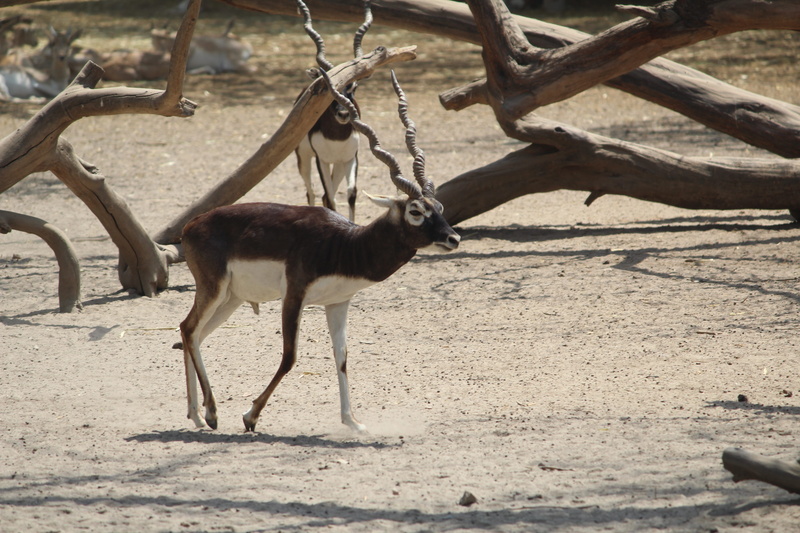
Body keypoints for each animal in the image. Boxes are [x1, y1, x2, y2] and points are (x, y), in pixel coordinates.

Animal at [179, 60, 460, 432]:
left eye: (439, 206)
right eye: (416, 211)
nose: (453, 238)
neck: (344, 245)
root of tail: (191, 226)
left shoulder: (338, 303)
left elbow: (342, 358)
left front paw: (353, 422)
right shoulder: (294, 295)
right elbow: (289, 357)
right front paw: (250, 415)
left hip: (231, 298)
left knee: (193, 334)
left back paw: (197, 414)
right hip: (213, 289)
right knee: (189, 328)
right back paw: (210, 413)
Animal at [294, 2, 372, 222]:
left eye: (353, 87)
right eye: (330, 88)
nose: (344, 114)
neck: (336, 136)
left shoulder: (351, 158)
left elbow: (351, 194)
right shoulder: (321, 160)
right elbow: (330, 197)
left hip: (338, 164)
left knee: (323, 195)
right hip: (304, 158)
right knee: (312, 192)